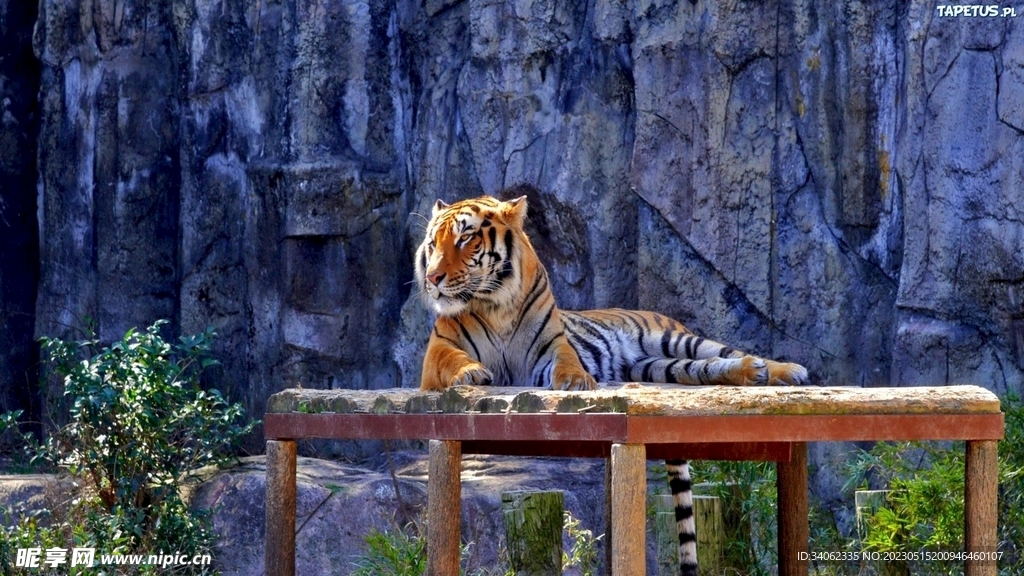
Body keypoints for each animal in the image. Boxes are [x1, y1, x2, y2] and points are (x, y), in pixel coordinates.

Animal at [414, 191, 809, 576]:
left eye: (465, 238)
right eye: (433, 244)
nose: (433, 279)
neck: (495, 304)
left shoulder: (550, 347)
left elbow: (567, 361)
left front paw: (576, 381)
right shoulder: (438, 351)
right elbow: (454, 359)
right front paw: (471, 373)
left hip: (675, 340)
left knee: (724, 352)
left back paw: (784, 370)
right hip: (661, 368)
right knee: (707, 367)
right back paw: (755, 372)